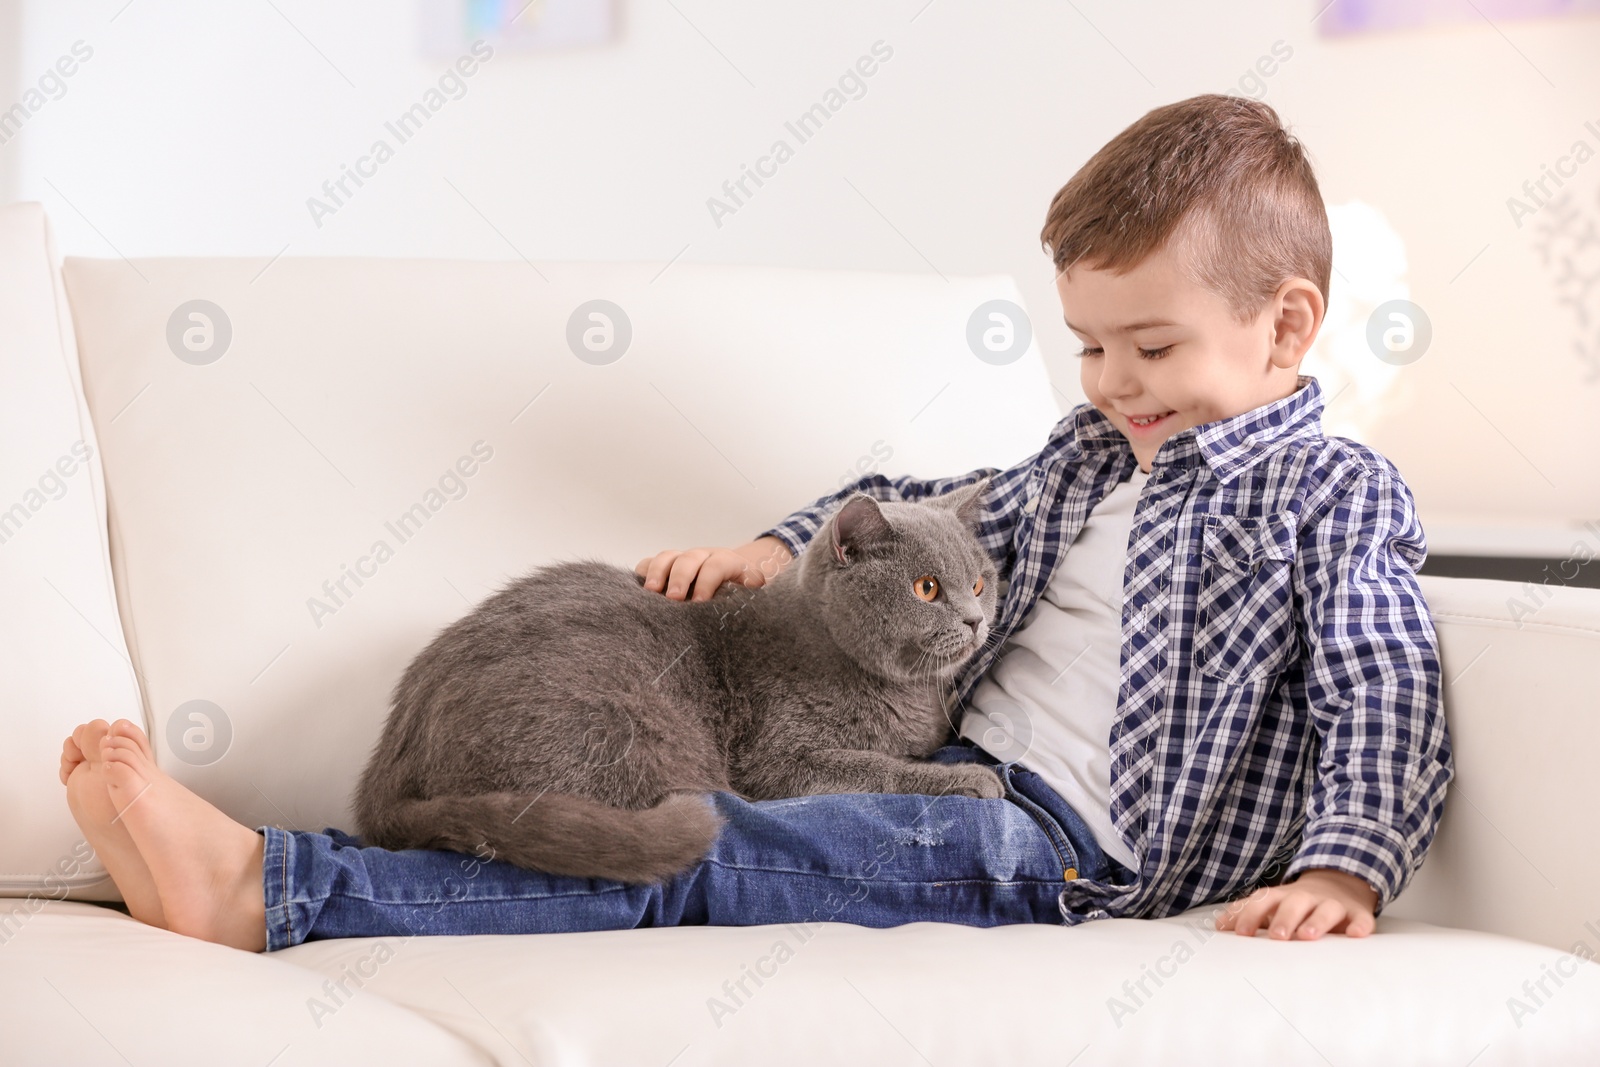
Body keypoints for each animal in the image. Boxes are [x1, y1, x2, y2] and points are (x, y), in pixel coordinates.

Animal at [355, 483, 998, 883]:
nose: (976, 619)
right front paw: (971, 779)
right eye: (926, 588)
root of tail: (384, 779)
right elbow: (878, 766)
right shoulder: (777, 761)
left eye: (980, 582)